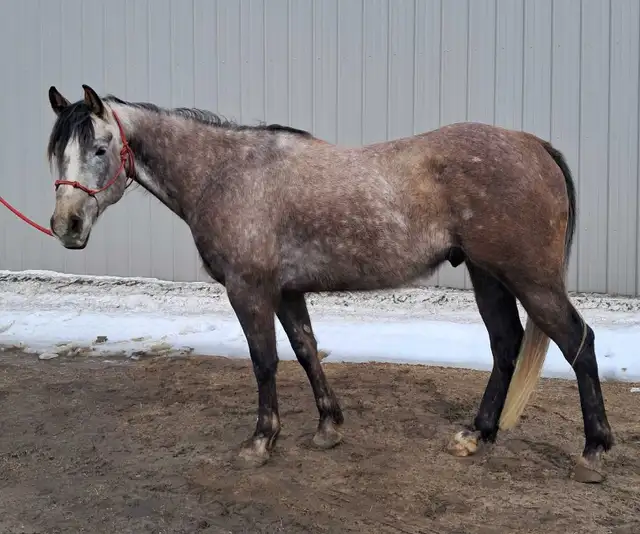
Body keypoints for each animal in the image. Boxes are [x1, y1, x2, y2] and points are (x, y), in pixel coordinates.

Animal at [45, 84, 613, 484]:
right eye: (57, 153)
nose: (66, 225)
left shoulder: (249, 290)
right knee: (506, 344)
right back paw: (476, 435)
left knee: (578, 343)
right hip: (487, 275)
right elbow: (306, 350)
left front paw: (261, 442)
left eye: (99, 149)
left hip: (530, 279)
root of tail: (533, 145)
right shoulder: (287, 292)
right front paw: (328, 428)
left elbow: (265, 362)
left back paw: (593, 453)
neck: (225, 173)